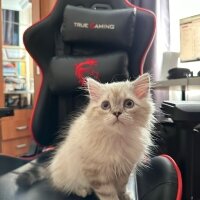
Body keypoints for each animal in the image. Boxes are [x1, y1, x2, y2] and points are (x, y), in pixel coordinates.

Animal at [16, 73, 155, 200]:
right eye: (105, 105)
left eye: (129, 103)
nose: (116, 113)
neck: (117, 137)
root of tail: (52, 166)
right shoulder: (96, 172)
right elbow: (108, 194)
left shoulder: (125, 168)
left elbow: (121, 187)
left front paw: (126, 196)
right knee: (65, 185)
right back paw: (83, 190)